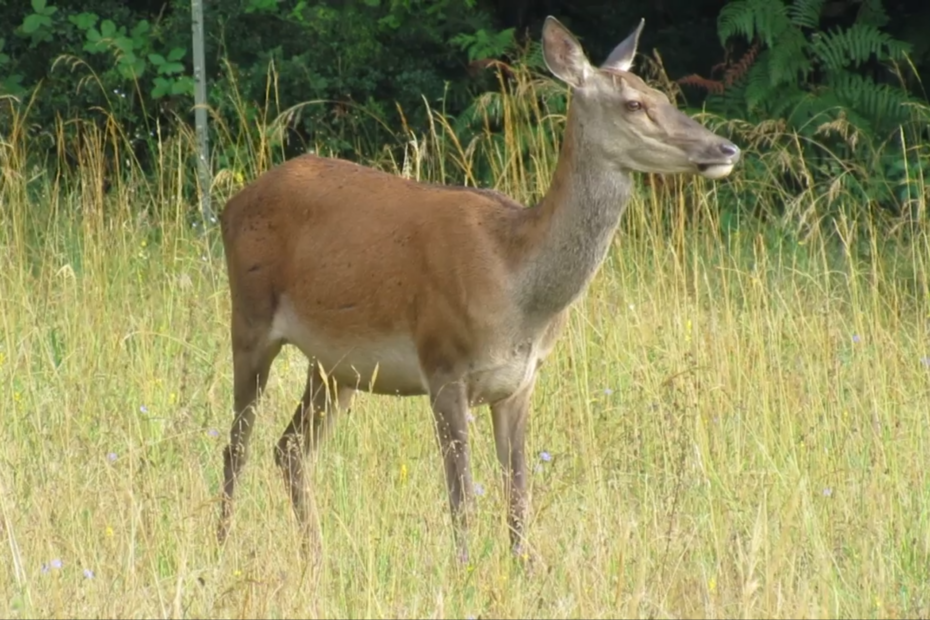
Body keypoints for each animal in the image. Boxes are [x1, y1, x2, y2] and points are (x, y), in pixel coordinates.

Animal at [212, 17, 740, 564]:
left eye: (660, 92)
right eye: (634, 104)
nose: (727, 149)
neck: (519, 288)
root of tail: (230, 204)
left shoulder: (521, 381)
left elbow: (518, 494)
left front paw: (523, 567)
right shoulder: (444, 364)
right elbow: (462, 497)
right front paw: (463, 569)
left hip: (336, 365)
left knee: (291, 447)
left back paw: (315, 556)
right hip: (249, 319)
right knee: (237, 444)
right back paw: (222, 545)